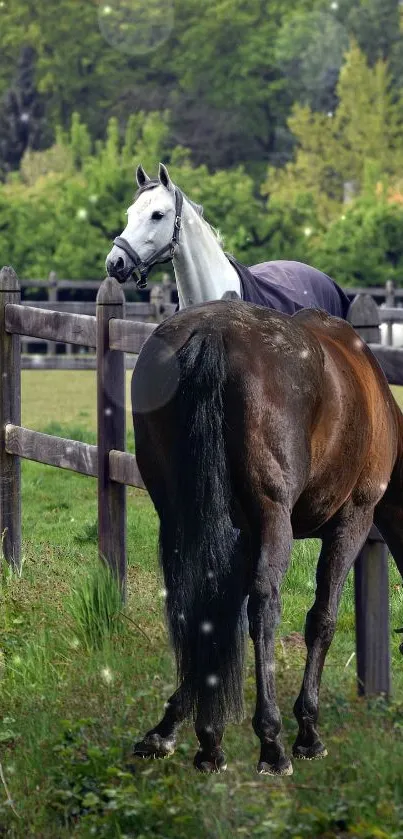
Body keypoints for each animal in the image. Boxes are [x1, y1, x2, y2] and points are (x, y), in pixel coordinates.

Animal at [131, 300, 402, 776]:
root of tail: (212, 333)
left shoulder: (240, 534)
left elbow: (219, 610)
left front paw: (183, 724)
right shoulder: (353, 520)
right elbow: (322, 620)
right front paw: (307, 731)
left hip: (179, 512)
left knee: (191, 601)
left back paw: (201, 740)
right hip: (276, 520)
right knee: (264, 609)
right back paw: (271, 741)